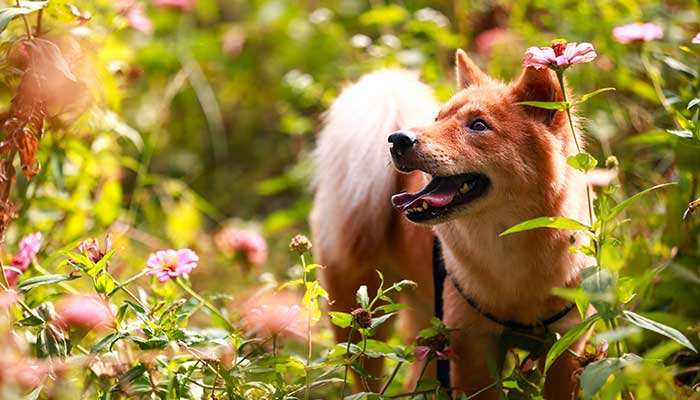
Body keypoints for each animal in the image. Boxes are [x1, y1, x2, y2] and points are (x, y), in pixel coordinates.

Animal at [312, 48, 592, 398]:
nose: (398, 139)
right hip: (362, 323)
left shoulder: (566, 348)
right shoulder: (472, 349)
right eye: (438, 119)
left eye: (478, 125)